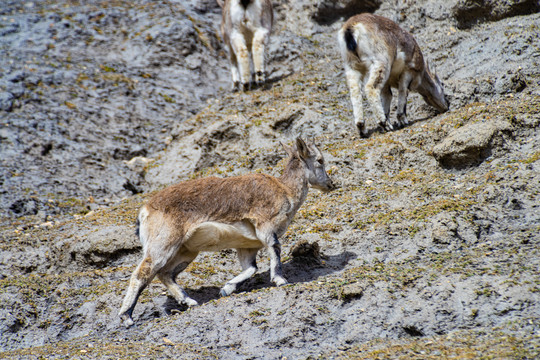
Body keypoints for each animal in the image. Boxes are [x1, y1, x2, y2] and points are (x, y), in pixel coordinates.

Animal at [120, 138, 336, 326]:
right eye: (320, 160)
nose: (330, 184)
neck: (285, 190)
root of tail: (145, 210)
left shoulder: (248, 246)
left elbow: (251, 268)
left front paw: (226, 289)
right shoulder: (265, 227)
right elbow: (274, 249)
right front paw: (281, 280)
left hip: (186, 251)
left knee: (165, 273)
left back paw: (189, 301)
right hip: (163, 244)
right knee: (142, 274)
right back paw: (127, 317)